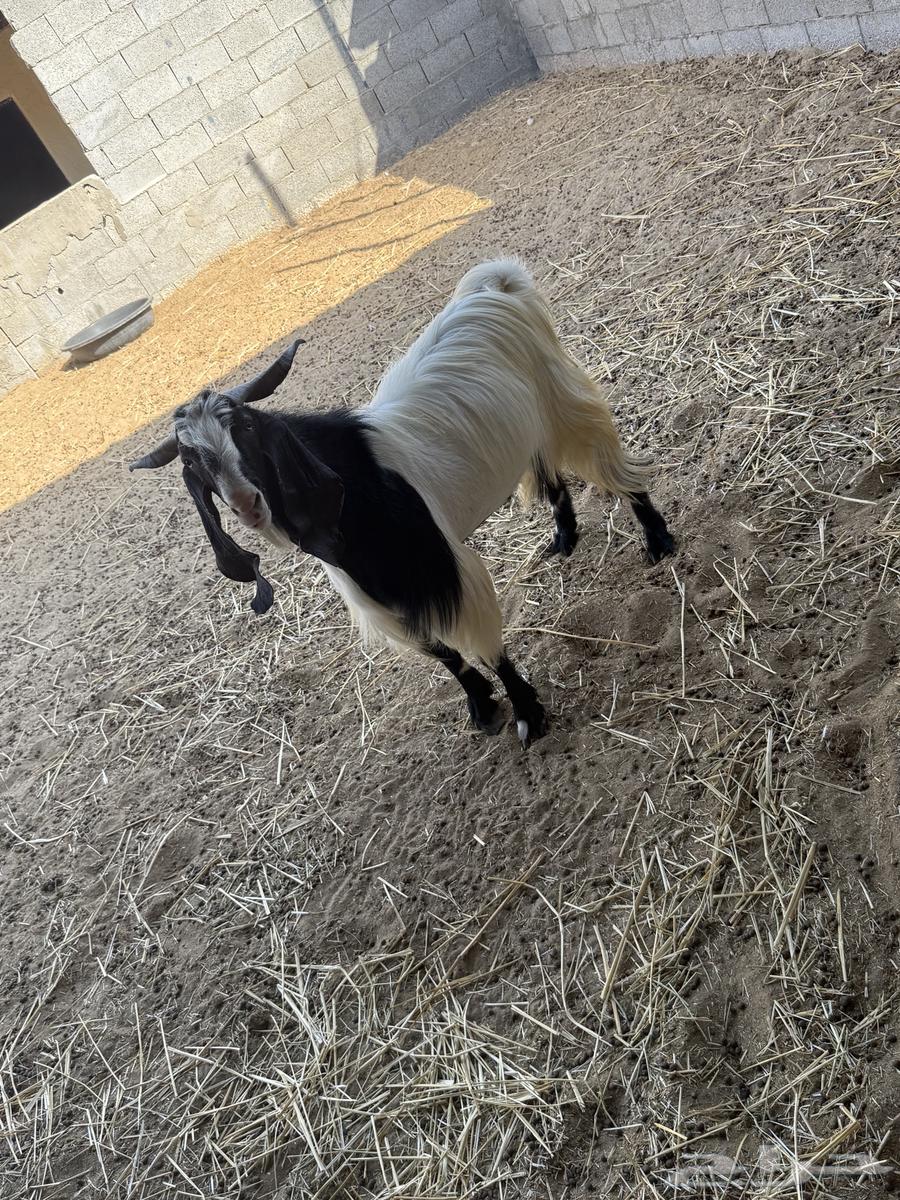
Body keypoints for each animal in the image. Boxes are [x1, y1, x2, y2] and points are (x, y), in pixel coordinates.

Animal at [130, 259, 674, 746]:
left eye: (244, 427)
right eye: (193, 464)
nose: (246, 503)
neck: (355, 495)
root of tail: (496, 287)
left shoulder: (443, 571)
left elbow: (485, 645)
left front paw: (526, 713)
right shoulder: (378, 597)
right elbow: (443, 652)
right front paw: (481, 706)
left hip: (565, 404)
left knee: (616, 470)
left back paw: (658, 540)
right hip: (530, 428)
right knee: (549, 473)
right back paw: (564, 538)